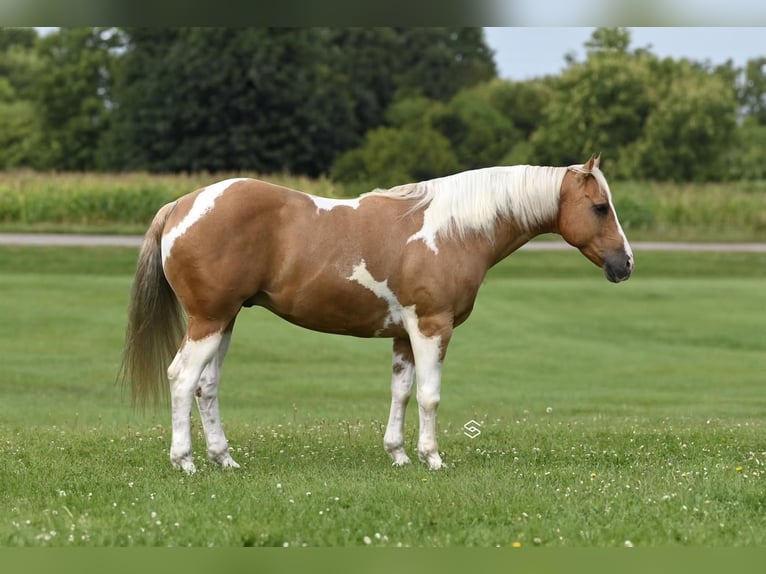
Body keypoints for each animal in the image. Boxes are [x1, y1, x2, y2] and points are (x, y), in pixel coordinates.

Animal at [121, 153, 636, 472]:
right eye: (600, 207)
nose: (626, 263)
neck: (452, 228)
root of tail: (182, 205)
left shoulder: (405, 334)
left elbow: (401, 393)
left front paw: (398, 455)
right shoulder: (432, 327)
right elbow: (429, 396)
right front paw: (432, 457)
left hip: (225, 320)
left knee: (206, 386)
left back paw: (223, 459)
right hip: (207, 321)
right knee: (183, 378)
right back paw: (185, 461)